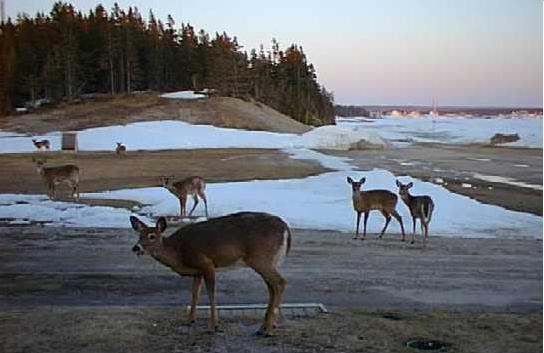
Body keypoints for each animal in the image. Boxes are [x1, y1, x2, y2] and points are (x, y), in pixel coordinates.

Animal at [130, 212, 292, 336]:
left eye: (152, 236)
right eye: (139, 235)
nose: (136, 248)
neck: (178, 253)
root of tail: (285, 228)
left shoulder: (206, 263)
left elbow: (211, 294)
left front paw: (213, 326)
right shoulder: (197, 272)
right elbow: (194, 293)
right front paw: (190, 320)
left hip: (260, 258)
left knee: (280, 282)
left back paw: (269, 329)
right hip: (267, 261)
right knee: (272, 287)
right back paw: (264, 327)